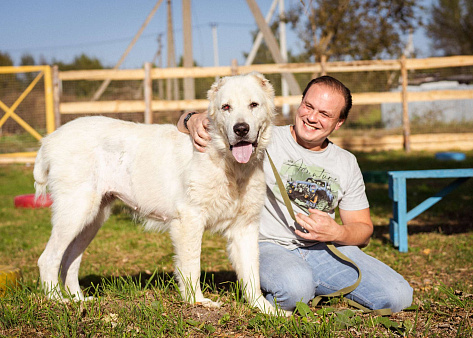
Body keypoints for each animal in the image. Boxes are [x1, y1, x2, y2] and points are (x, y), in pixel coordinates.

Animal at [36, 72, 280, 316]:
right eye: (226, 107)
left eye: (253, 105)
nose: (241, 129)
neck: (227, 162)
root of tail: (50, 139)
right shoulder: (189, 220)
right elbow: (192, 265)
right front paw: (197, 301)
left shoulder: (245, 227)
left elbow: (252, 274)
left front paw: (266, 309)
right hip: (76, 211)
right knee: (48, 258)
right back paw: (58, 300)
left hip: (93, 219)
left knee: (70, 259)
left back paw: (78, 299)